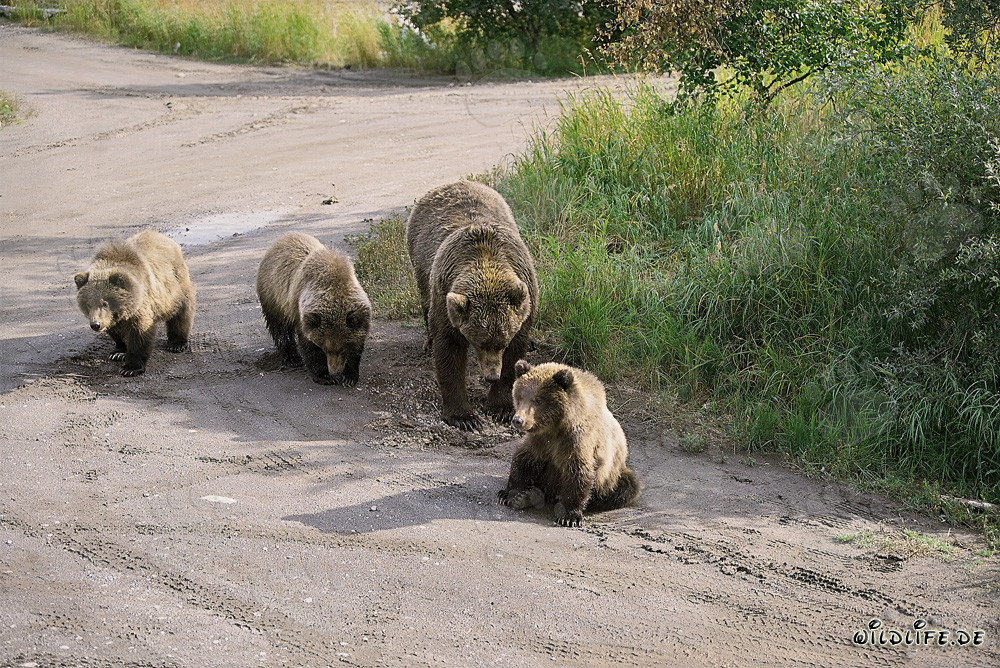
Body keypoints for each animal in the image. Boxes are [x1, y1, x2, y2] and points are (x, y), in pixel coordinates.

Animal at [73, 229, 196, 377]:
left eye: (105, 303)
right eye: (88, 304)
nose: (96, 324)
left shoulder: (141, 305)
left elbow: (140, 333)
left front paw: (130, 368)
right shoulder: (114, 317)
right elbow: (116, 330)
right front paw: (118, 352)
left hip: (175, 287)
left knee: (181, 312)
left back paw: (176, 343)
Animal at [256, 232, 371, 386]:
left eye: (342, 348)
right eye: (325, 348)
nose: (334, 371)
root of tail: (280, 240)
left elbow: (357, 344)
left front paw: (349, 376)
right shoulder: (301, 312)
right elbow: (309, 346)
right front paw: (324, 376)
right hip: (273, 295)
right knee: (280, 329)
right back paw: (292, 358)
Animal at [406, 180, 539, 431]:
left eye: (502, 342)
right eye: (479, 342)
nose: (491, 376)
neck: (486, 259)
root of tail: (455, 182)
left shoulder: (524, 304)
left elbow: (515, 354)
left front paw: (500, 408)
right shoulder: (446, 300)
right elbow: (449, 352)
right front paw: (464, 417)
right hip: (420, 264)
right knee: (425, 302)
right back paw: (428, 342)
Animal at [498, 360, 641, 527]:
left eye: (538, 400)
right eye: (520, 397)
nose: (518, 420)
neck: (556, 427)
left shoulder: (576, 440)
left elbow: (578, 471)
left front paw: (569, 517)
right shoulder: (539, 441)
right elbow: (524, 459)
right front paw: (508, 494)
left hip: (613, 475)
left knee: (627, 487)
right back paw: (529, 496)